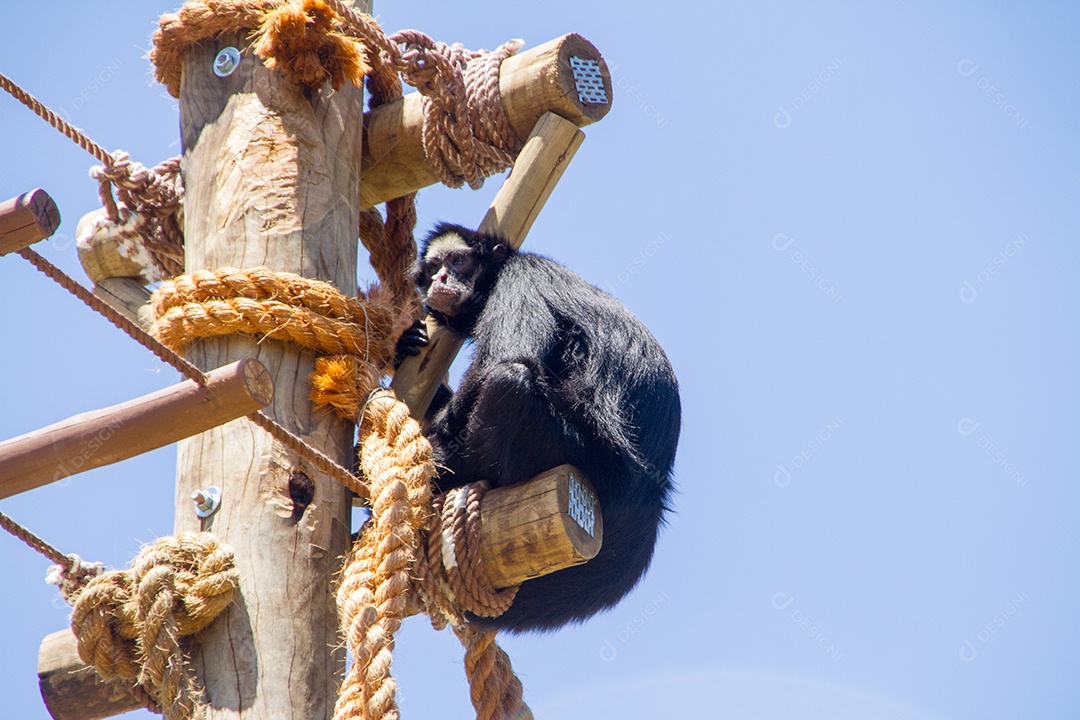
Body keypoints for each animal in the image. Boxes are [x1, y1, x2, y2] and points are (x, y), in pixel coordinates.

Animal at [397, 223, 681, 633]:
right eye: (434, 267)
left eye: (459, 261)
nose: (442, 278)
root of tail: (652, 495)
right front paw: (403, 345)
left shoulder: (520, 279)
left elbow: (505, 359)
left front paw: (436, 446)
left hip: (582, 457)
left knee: (510, 380)